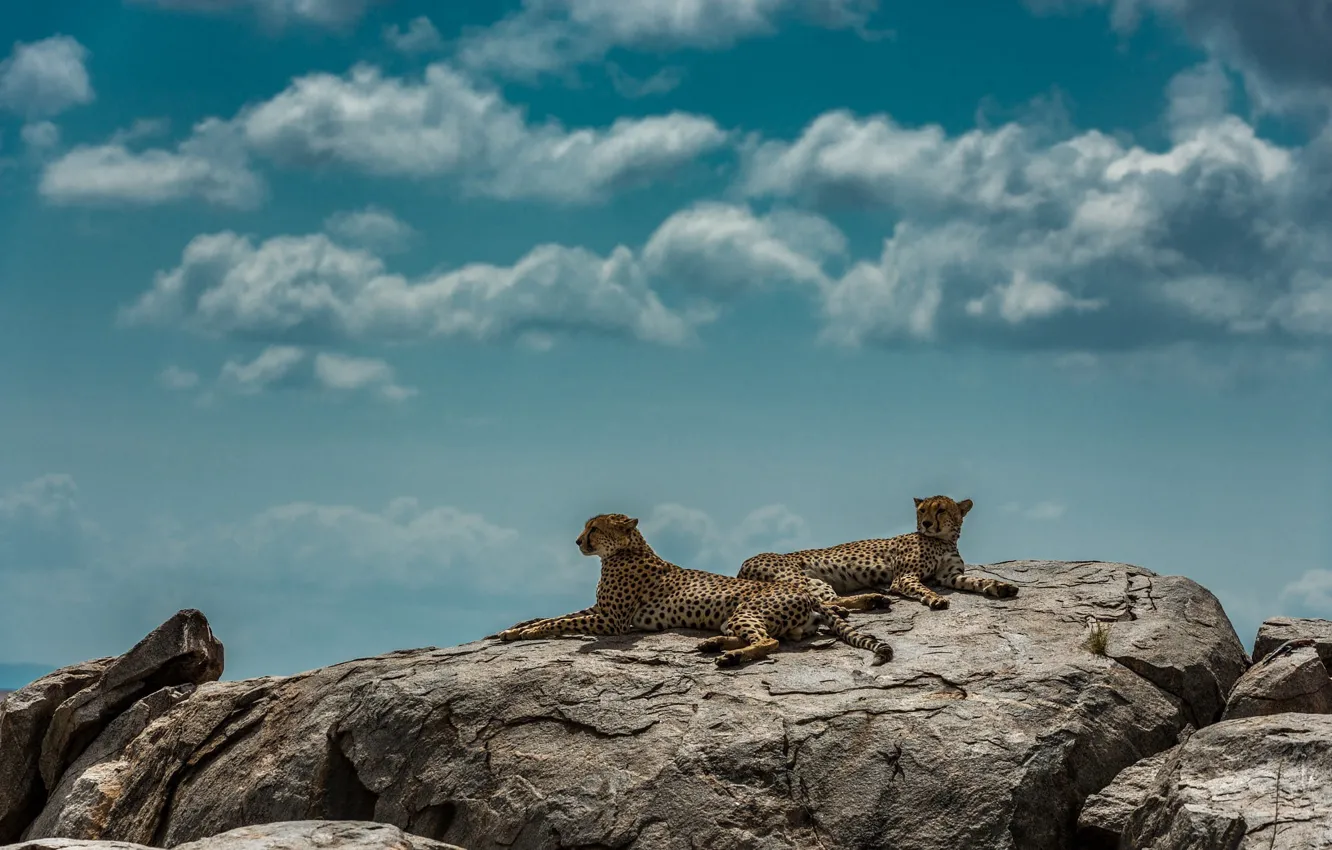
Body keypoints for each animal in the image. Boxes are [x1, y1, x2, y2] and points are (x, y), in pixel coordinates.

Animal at [496, 513, 894, 667]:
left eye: (594, 528)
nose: (578, 541)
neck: (626, 550)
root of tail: (808, 596)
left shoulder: (611, 621)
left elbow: (559, 622)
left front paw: (525, 634)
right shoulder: (600, 611)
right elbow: (554, 616)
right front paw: (513, 630)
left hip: (746, 610)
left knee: (769, 642)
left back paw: (730, 656)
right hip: (736, 617)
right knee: (775, 636)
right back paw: (713, 644)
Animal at [737, 495, 1019, 611]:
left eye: (940, 510)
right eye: (922, 511)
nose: (926, 524)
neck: (944, 540)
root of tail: (743, 565)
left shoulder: (949, 576)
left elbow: (977, 580)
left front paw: (1000, 586)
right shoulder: (904, 578)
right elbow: (924, 588)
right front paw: (935, 599)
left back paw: (873, 600)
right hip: (804, 579)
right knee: (826, 602)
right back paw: (873, 600)